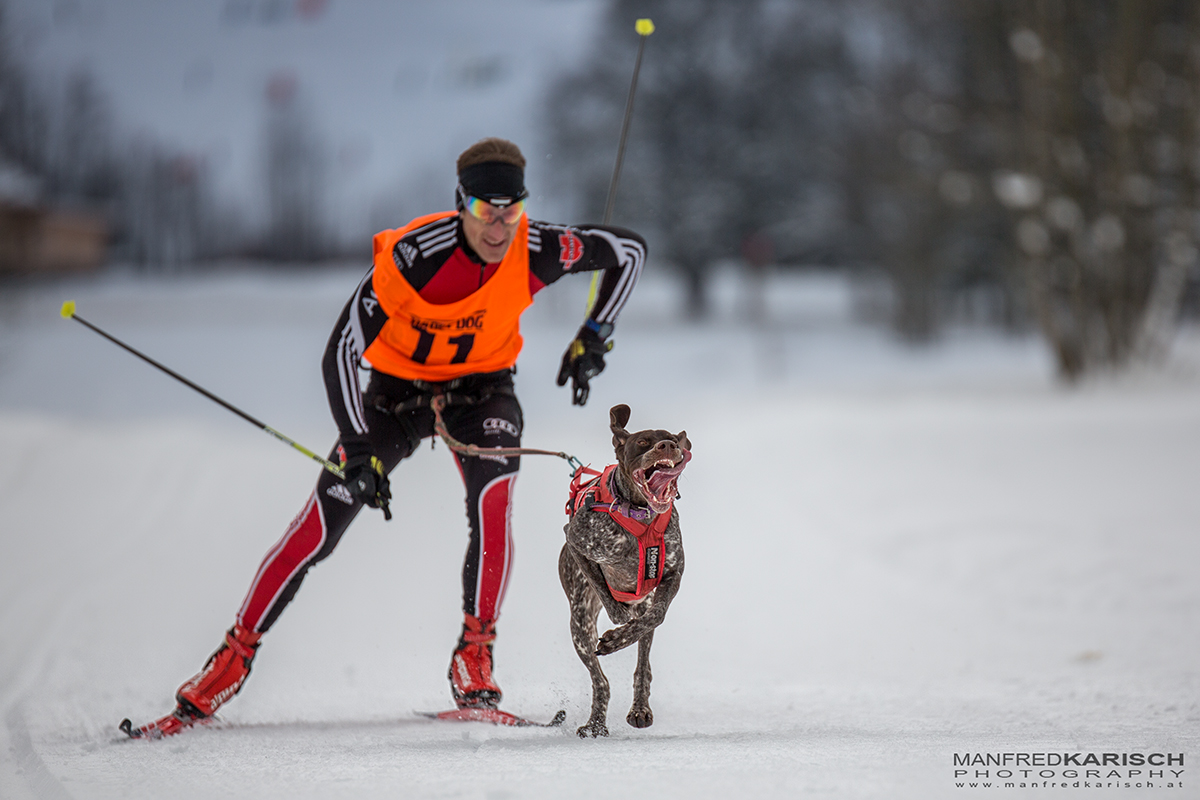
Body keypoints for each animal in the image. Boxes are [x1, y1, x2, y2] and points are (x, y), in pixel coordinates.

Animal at [556, 407, 691, 738]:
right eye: (642, 442)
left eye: (672, 438)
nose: (667, 446)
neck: (641, 516)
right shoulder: (575, 539)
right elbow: (605, 592)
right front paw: (618, 621)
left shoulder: (672, 575)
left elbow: (655, 616)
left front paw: (619, 637)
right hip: (579, 627)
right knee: (600, 680)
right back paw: (595, 723)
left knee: (643, 663)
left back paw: (639, 708)